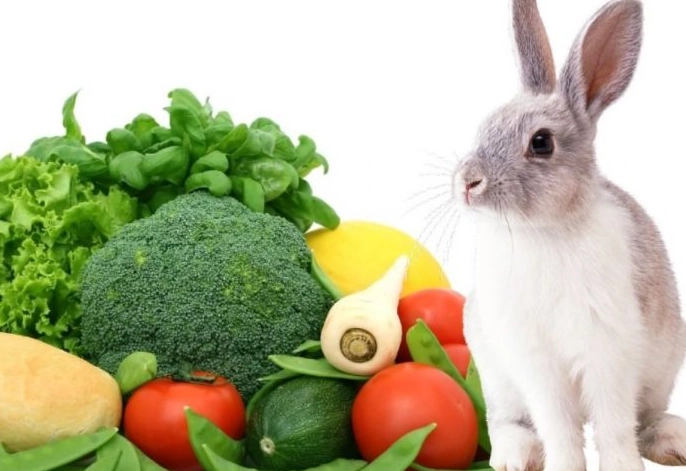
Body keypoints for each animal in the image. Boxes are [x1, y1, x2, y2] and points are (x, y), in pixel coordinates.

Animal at [453, 1, 686, 470]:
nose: (468, 182)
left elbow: (614, 427)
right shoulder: (536, 363)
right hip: (497, 380)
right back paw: (514, 457)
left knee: (645, 418)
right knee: (507, 423)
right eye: (484, 127)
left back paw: (673, 442)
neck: (543, 230)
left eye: (541, 143)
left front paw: (622, 467)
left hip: (662, 371)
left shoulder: (609, 352)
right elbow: (558, 426)